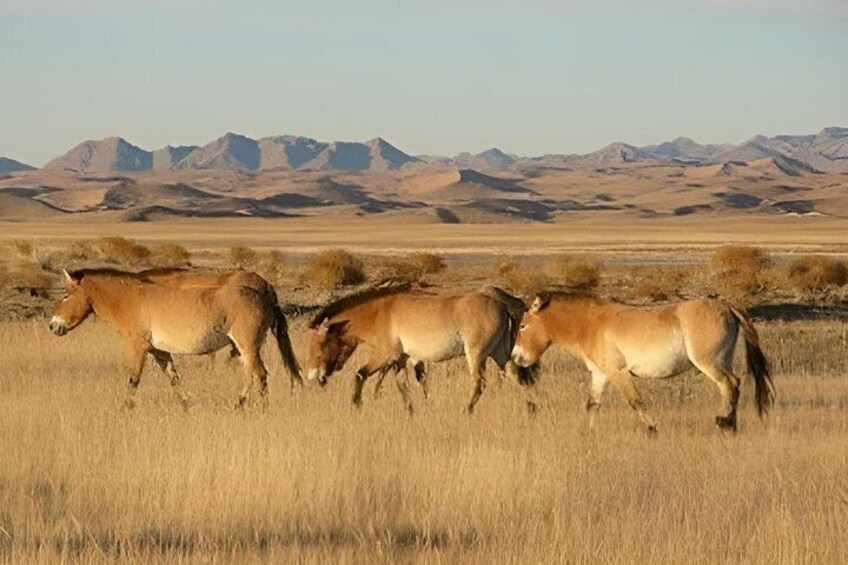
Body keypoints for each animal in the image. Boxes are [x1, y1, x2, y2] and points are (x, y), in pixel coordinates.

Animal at [48, 268, 302, 409]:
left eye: (66, 294)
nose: (53, 325)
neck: (130, 298)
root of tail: (264, 295)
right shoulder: (159, 351)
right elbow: (174, 379)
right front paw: (188, 406)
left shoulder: (137, 346)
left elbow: (133, 379)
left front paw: (124, 409)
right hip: (244, 349)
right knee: (251, 375)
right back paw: (239, 405)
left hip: (247, 346)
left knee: (260, 375)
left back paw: (260, 409)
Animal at [305, 284, 538, 414]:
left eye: (319, 344)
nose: (312, 375)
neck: (379, 312)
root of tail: (501, 303)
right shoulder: (400, 359)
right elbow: (404, 385)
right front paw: (411, 411)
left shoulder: (385, 355)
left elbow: (360, 374)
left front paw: (356, 405)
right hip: (500, 354)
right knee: (515, 375)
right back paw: (531, 408)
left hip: (476, 354)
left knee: (479, 383)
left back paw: (466, 410)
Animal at [511, 293, 774, 433]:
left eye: (522, 325)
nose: (515, 357)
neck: (591, 325)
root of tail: (727, 306)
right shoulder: (600, 374)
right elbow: (592, 404)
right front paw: (588, 433)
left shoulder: (618, 373)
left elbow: (635, 401)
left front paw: (652, 429)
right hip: (721, 361)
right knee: (733, 385)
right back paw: (731, 424)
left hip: (710, 363)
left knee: (730, 385)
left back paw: (725, 423)